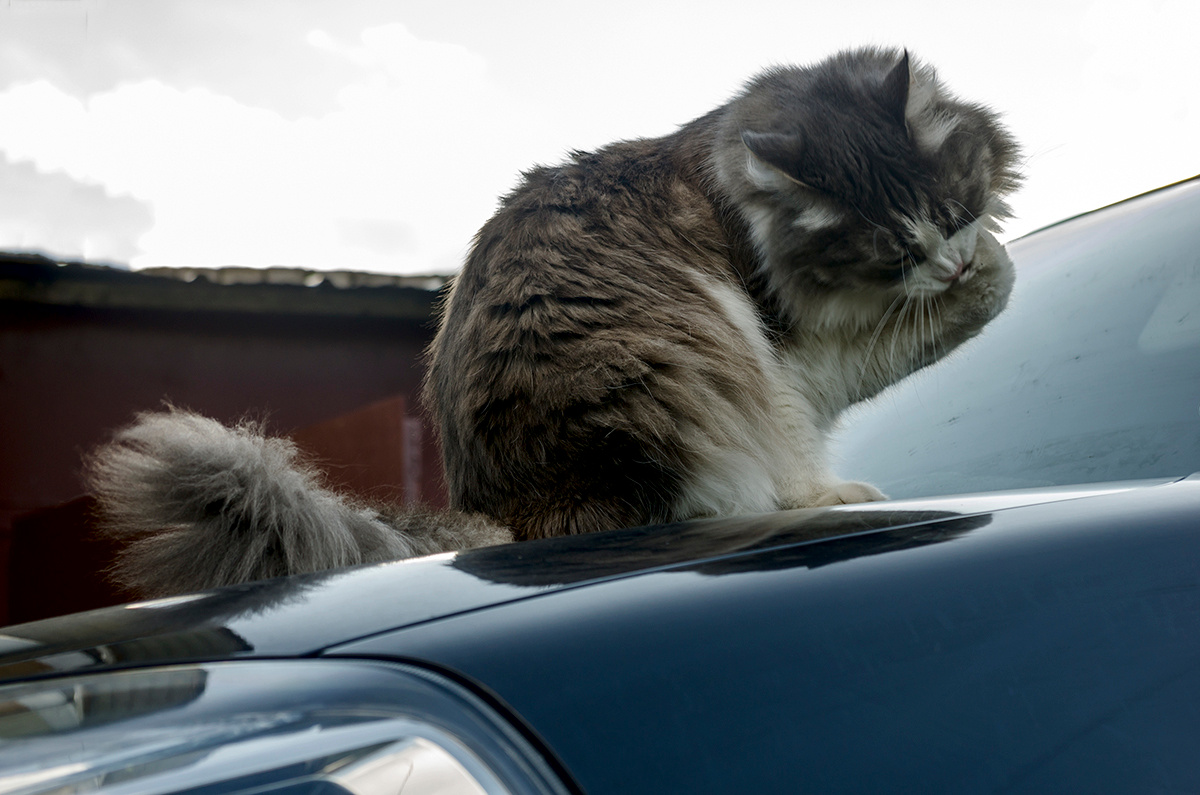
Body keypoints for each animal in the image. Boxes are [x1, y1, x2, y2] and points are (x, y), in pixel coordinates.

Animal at [87, 47, 1020, 597]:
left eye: (948, 210)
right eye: (894, 251)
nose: (951, 261)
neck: (734, 191)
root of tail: (514, 515)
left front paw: (988, 260)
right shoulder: (792, 346)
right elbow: (887, 354)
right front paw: (993, 276)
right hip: (688, 374)